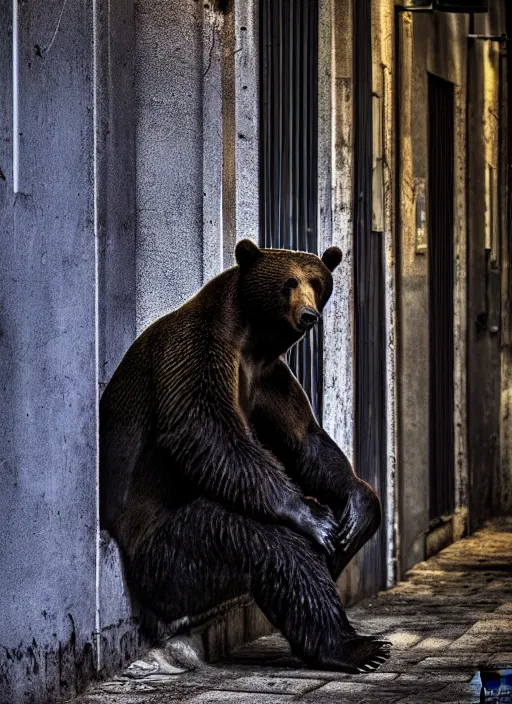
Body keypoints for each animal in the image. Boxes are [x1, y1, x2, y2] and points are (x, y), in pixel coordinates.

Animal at [99, 241, 388, 672]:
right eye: (289, 282)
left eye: (316, 282)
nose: (308, 315)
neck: (250, 337)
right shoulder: (198, 352)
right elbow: (207, 432)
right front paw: (315, 518)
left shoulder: (269, 378)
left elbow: (305, 439)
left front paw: (359, 506)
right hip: (169, 556)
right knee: (270, 545)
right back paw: (352, 646)